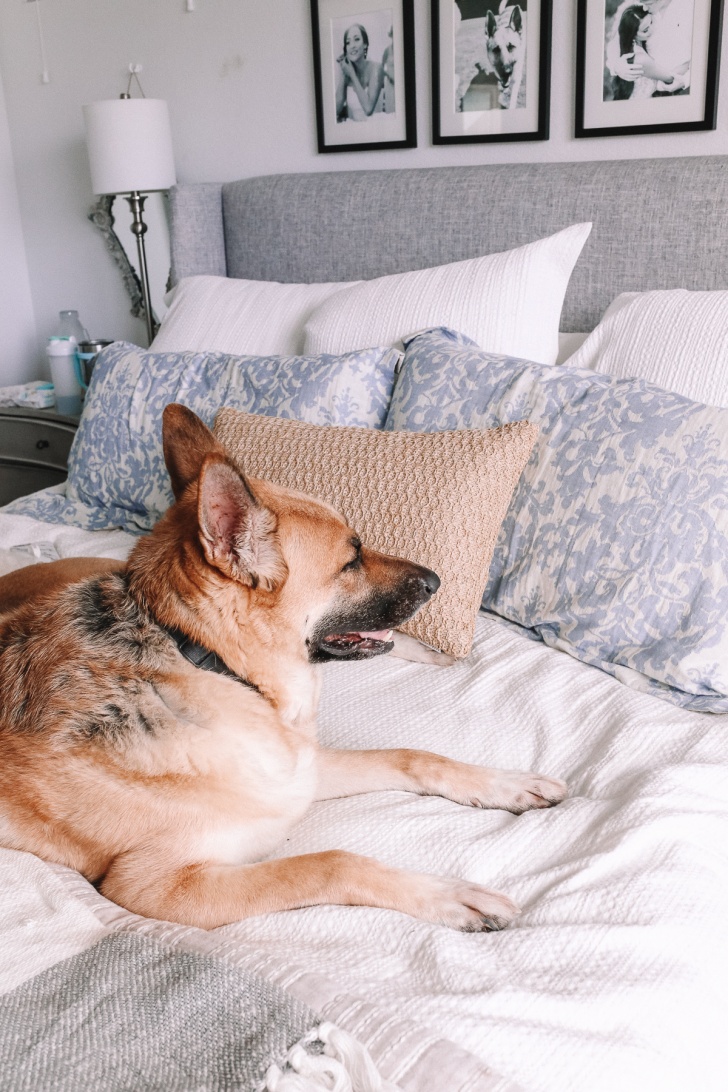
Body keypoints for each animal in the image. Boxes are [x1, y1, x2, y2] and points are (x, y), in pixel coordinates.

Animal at [0, 406, 567, 934]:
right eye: (350, 561)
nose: (437, 581)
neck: (213, 663)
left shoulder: (301, 768)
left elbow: (413, 756)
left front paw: (508, 784)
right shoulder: (156, 886)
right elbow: (333, 863)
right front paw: (450, 895)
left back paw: (428, 651)